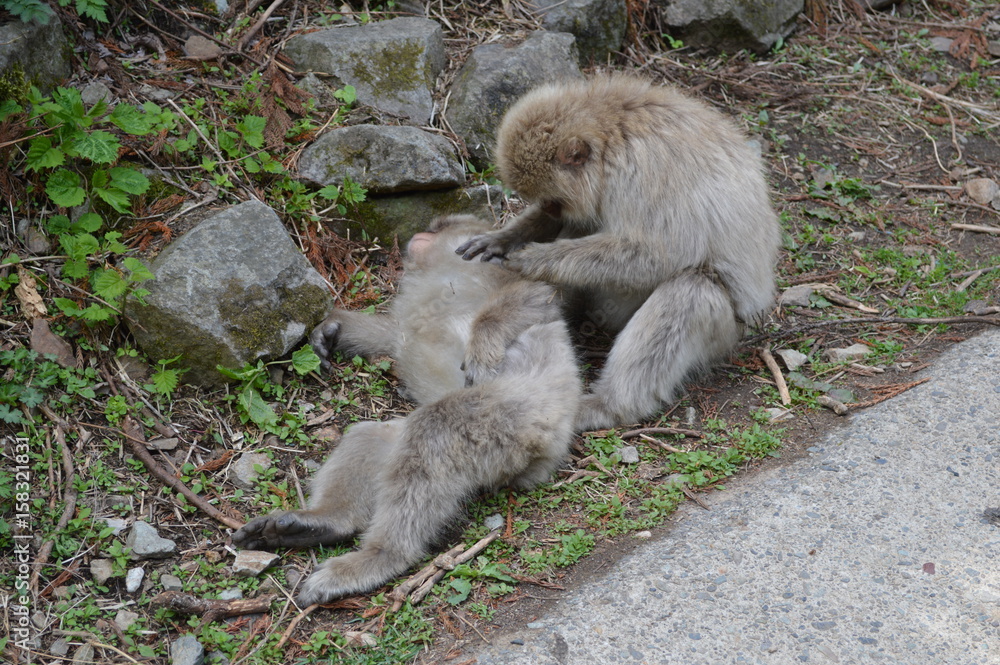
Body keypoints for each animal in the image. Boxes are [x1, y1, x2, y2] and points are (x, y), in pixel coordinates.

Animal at [233, 215, 581, 606]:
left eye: (441, 224)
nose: (419, 233)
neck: (442, 267)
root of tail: (554, 449)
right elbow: (390, 336)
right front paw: (331, 328)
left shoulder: (496, 271)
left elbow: (538, 295)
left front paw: (483, 345)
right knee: (373, 436)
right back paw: (324, 523)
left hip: (519, 422)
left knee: (437, 428)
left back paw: (381, 557)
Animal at [455, 74, 782, 432]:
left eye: (555, 200)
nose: (551, 211)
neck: (610, 133)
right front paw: (507, 237)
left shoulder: (644, 170)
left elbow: (658, 256)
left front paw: (533, 258)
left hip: (724, 333)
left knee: (692, 290)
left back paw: (609, 406)